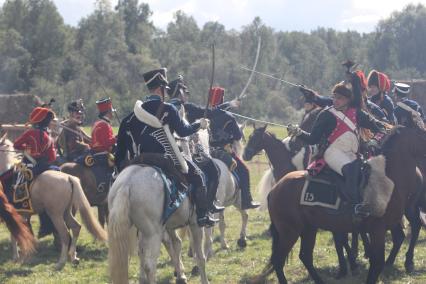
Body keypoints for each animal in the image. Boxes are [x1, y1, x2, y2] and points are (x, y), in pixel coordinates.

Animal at [256, 127, 426, 284]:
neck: (387, 178)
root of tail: (275, 188)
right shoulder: (376, 230)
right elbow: (375, 263)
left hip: (308, 229)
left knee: (305, 256)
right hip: (290, 232)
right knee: (279, 260)